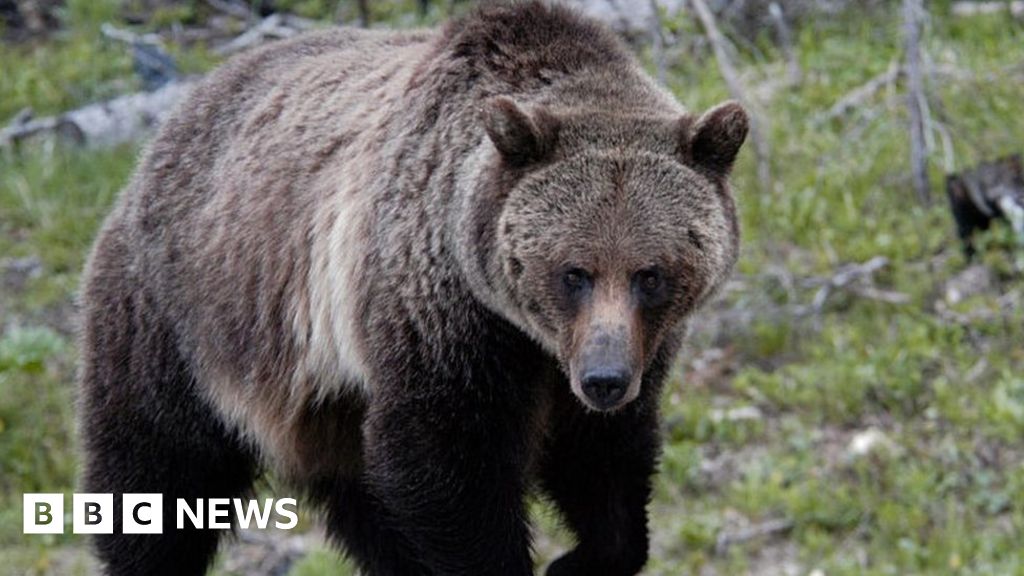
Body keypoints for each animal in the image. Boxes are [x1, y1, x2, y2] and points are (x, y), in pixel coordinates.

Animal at [76, 2, 747, 575]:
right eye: (573, 272)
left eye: (650, 274)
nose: (604, 379)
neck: (527, 334)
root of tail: (167, 129)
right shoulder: (439, 312)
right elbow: (444, 461)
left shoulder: (629, 352)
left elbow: (604, 456)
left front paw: (582, 559)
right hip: (175, 318)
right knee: (158, 474)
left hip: (324, 397)